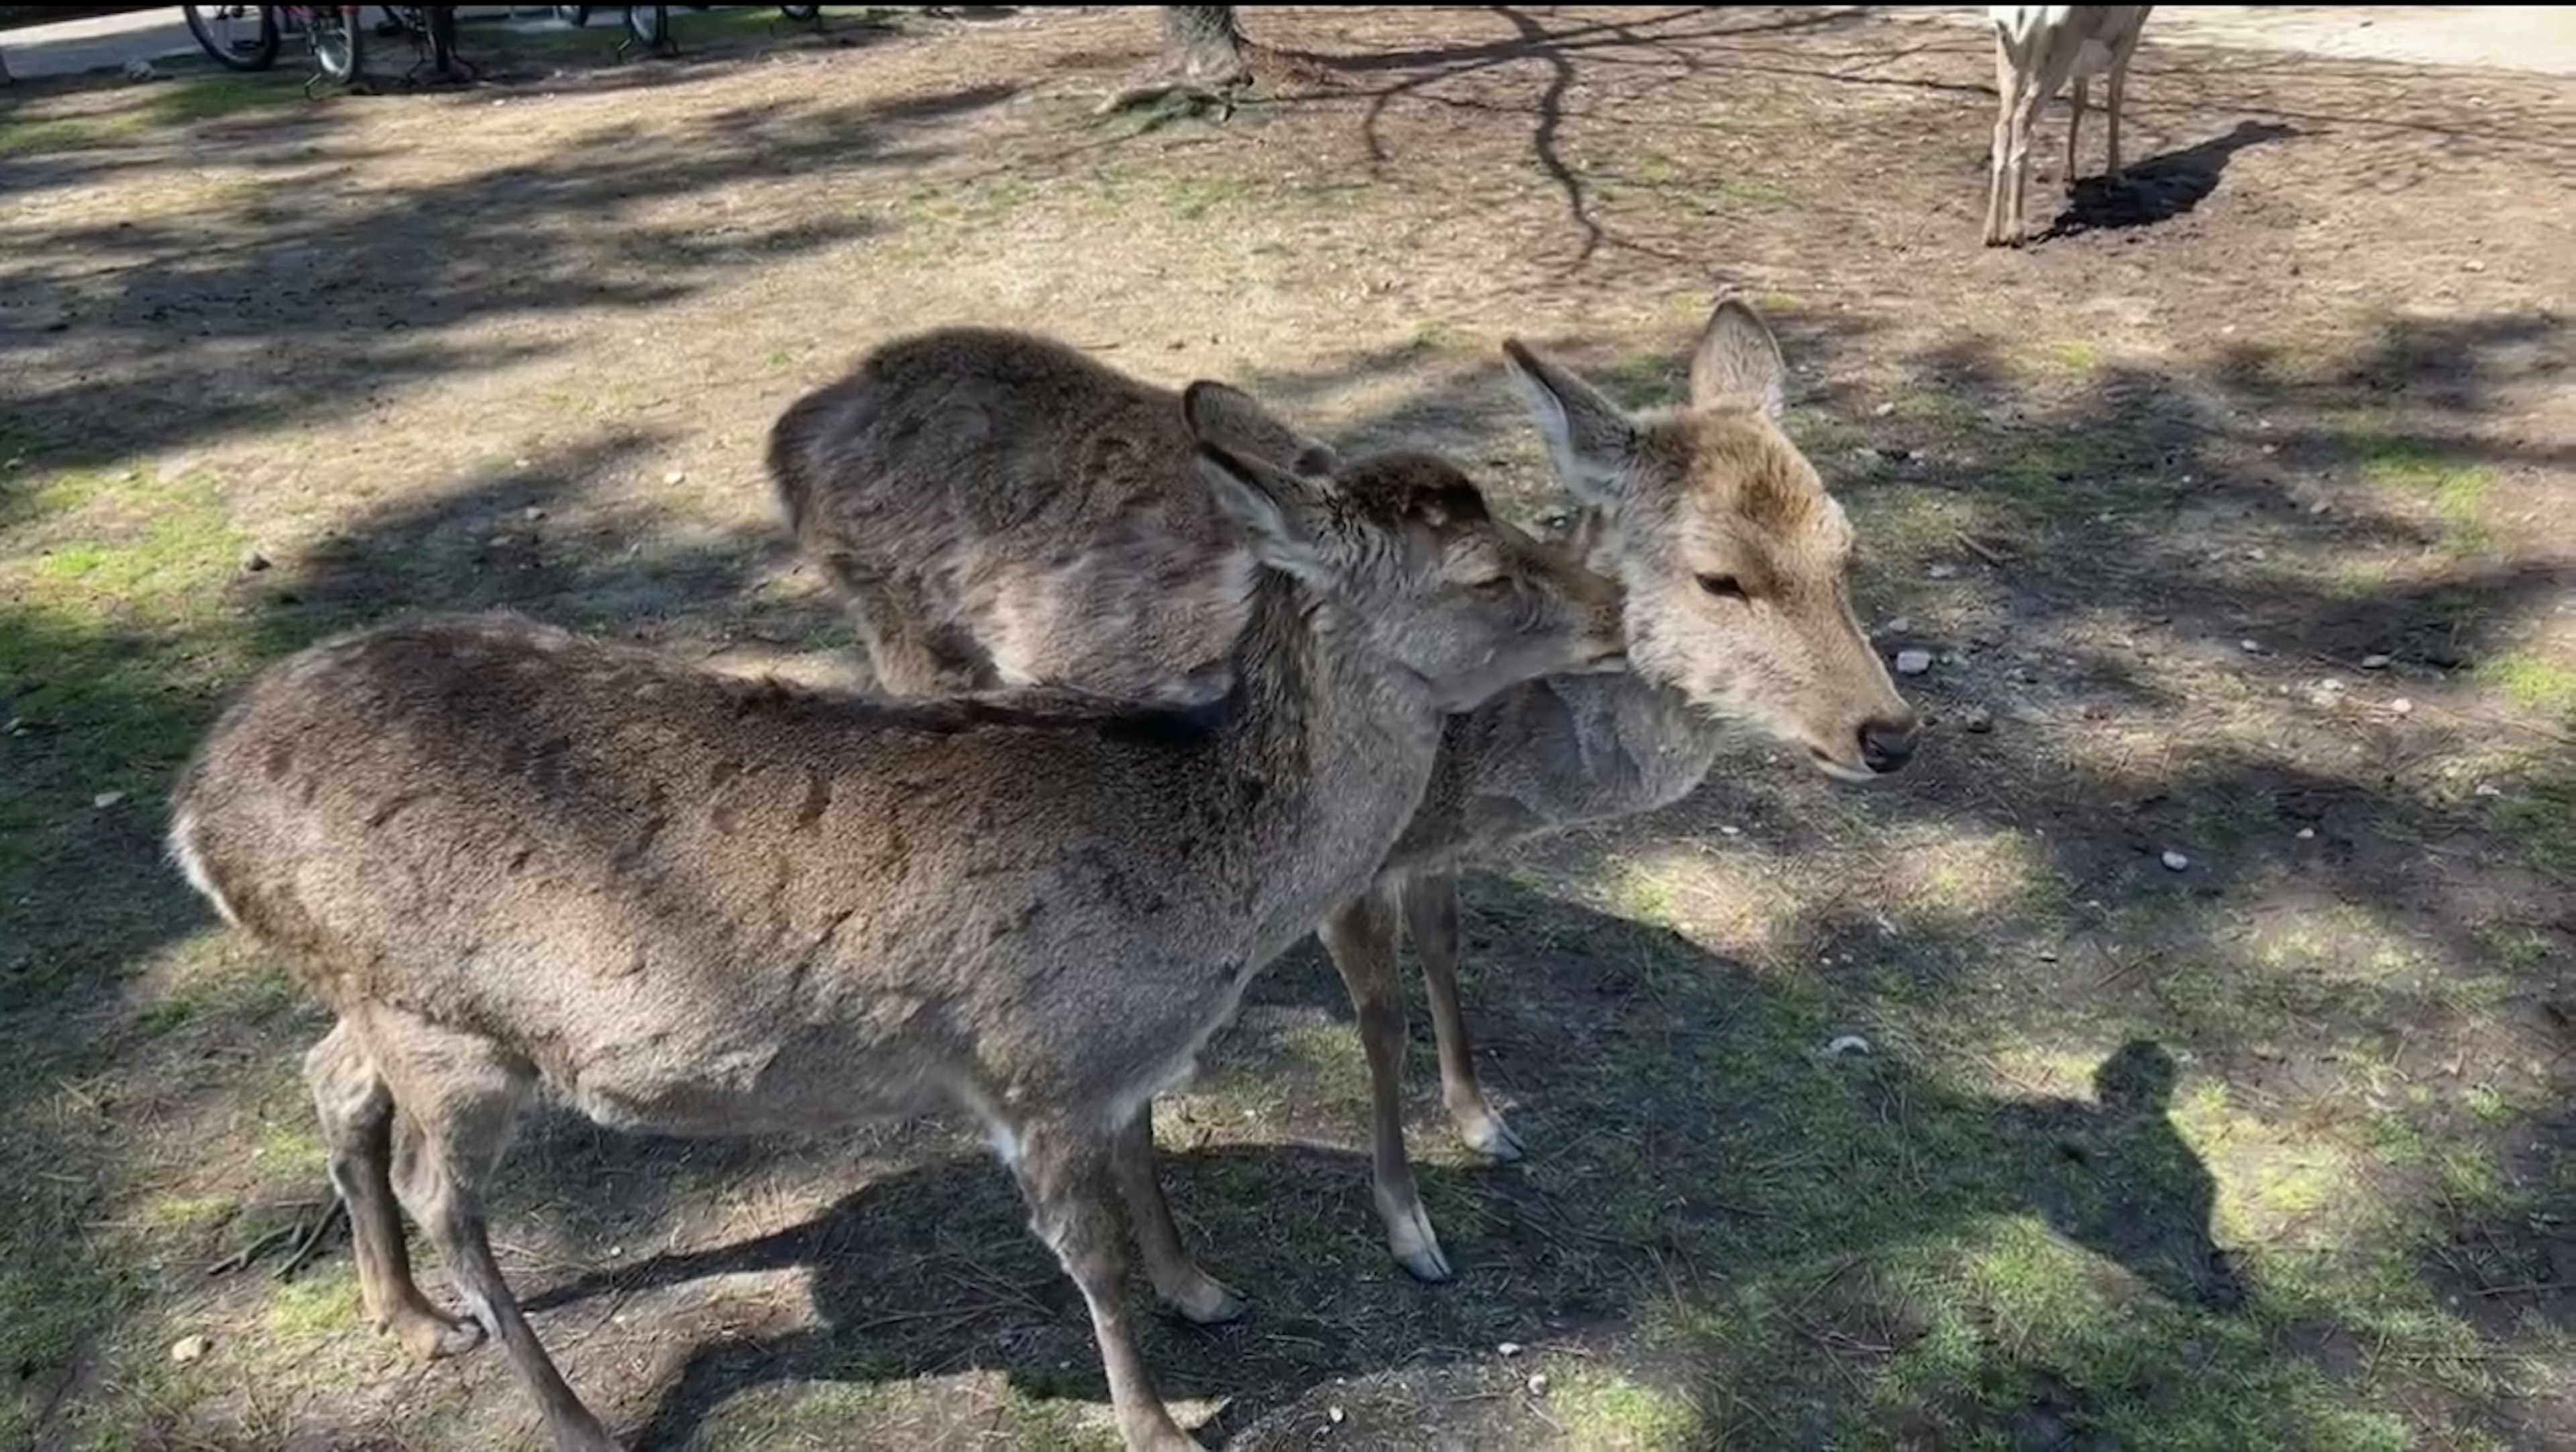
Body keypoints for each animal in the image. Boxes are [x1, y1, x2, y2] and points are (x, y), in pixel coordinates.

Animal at [166, 386, 1627, 1452]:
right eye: (1488, 570)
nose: (1620, 608)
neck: (1209, 897)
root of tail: (196, 811)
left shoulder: (1112, 1060)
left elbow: (1149, 1161)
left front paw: (1205, 1287)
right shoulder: (1025, 1062)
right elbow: (1090, 1257)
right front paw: (1158, 1423)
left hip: (372, 996)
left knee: (329, 1079)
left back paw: (407, 1317)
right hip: (451, 1025)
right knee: (442, 1190)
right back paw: (574, 1416)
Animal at [752, 294, 1927, 1282]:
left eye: (1846, 548)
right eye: (1719, 576)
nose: (1889, 734)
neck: (1487, 762)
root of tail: (792, 433)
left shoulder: (1431, 848)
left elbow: (1447, 953)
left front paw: (1487, 1122)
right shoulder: (1354, 864)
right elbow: (1380, 1016)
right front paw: (1413, 1230)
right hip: (901, 631)